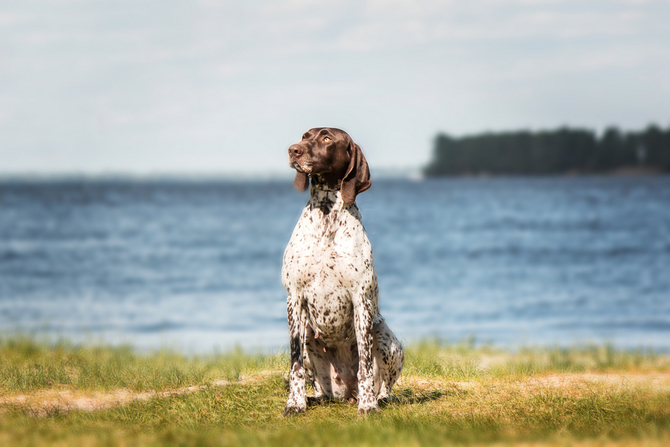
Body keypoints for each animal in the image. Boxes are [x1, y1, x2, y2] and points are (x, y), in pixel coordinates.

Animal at [282, 127, 404, 416]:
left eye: (327, 138)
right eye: (305, 136)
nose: (293, 150)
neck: (326, 215)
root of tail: (346, 393)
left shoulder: (361, 299)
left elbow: (366, 367)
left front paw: (368, 406)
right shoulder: (294, 298)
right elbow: (295, 366)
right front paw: (295, 403)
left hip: (386, 337)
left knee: (383, 383)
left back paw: (378, 398)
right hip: (307, 338)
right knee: (318, 385)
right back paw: (314, 397)